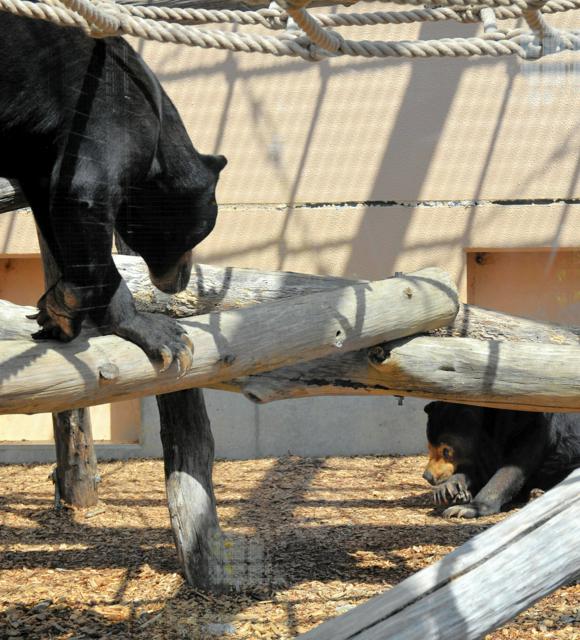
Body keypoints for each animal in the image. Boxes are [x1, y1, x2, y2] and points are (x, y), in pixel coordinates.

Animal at [0, 12, 227, 372]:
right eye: (192, 238)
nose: (178, 282)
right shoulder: (110, 109)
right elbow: (84, 192)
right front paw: (164, 335)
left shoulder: (38, 156)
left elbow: (56, 209)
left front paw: (52, 314)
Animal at [422, 402, 580, 516]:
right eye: (429, 447)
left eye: (446, 451)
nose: (427, 476)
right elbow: (479, 472)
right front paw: (448, 489)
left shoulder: (536, 429)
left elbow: (512, 470)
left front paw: (465, 509)